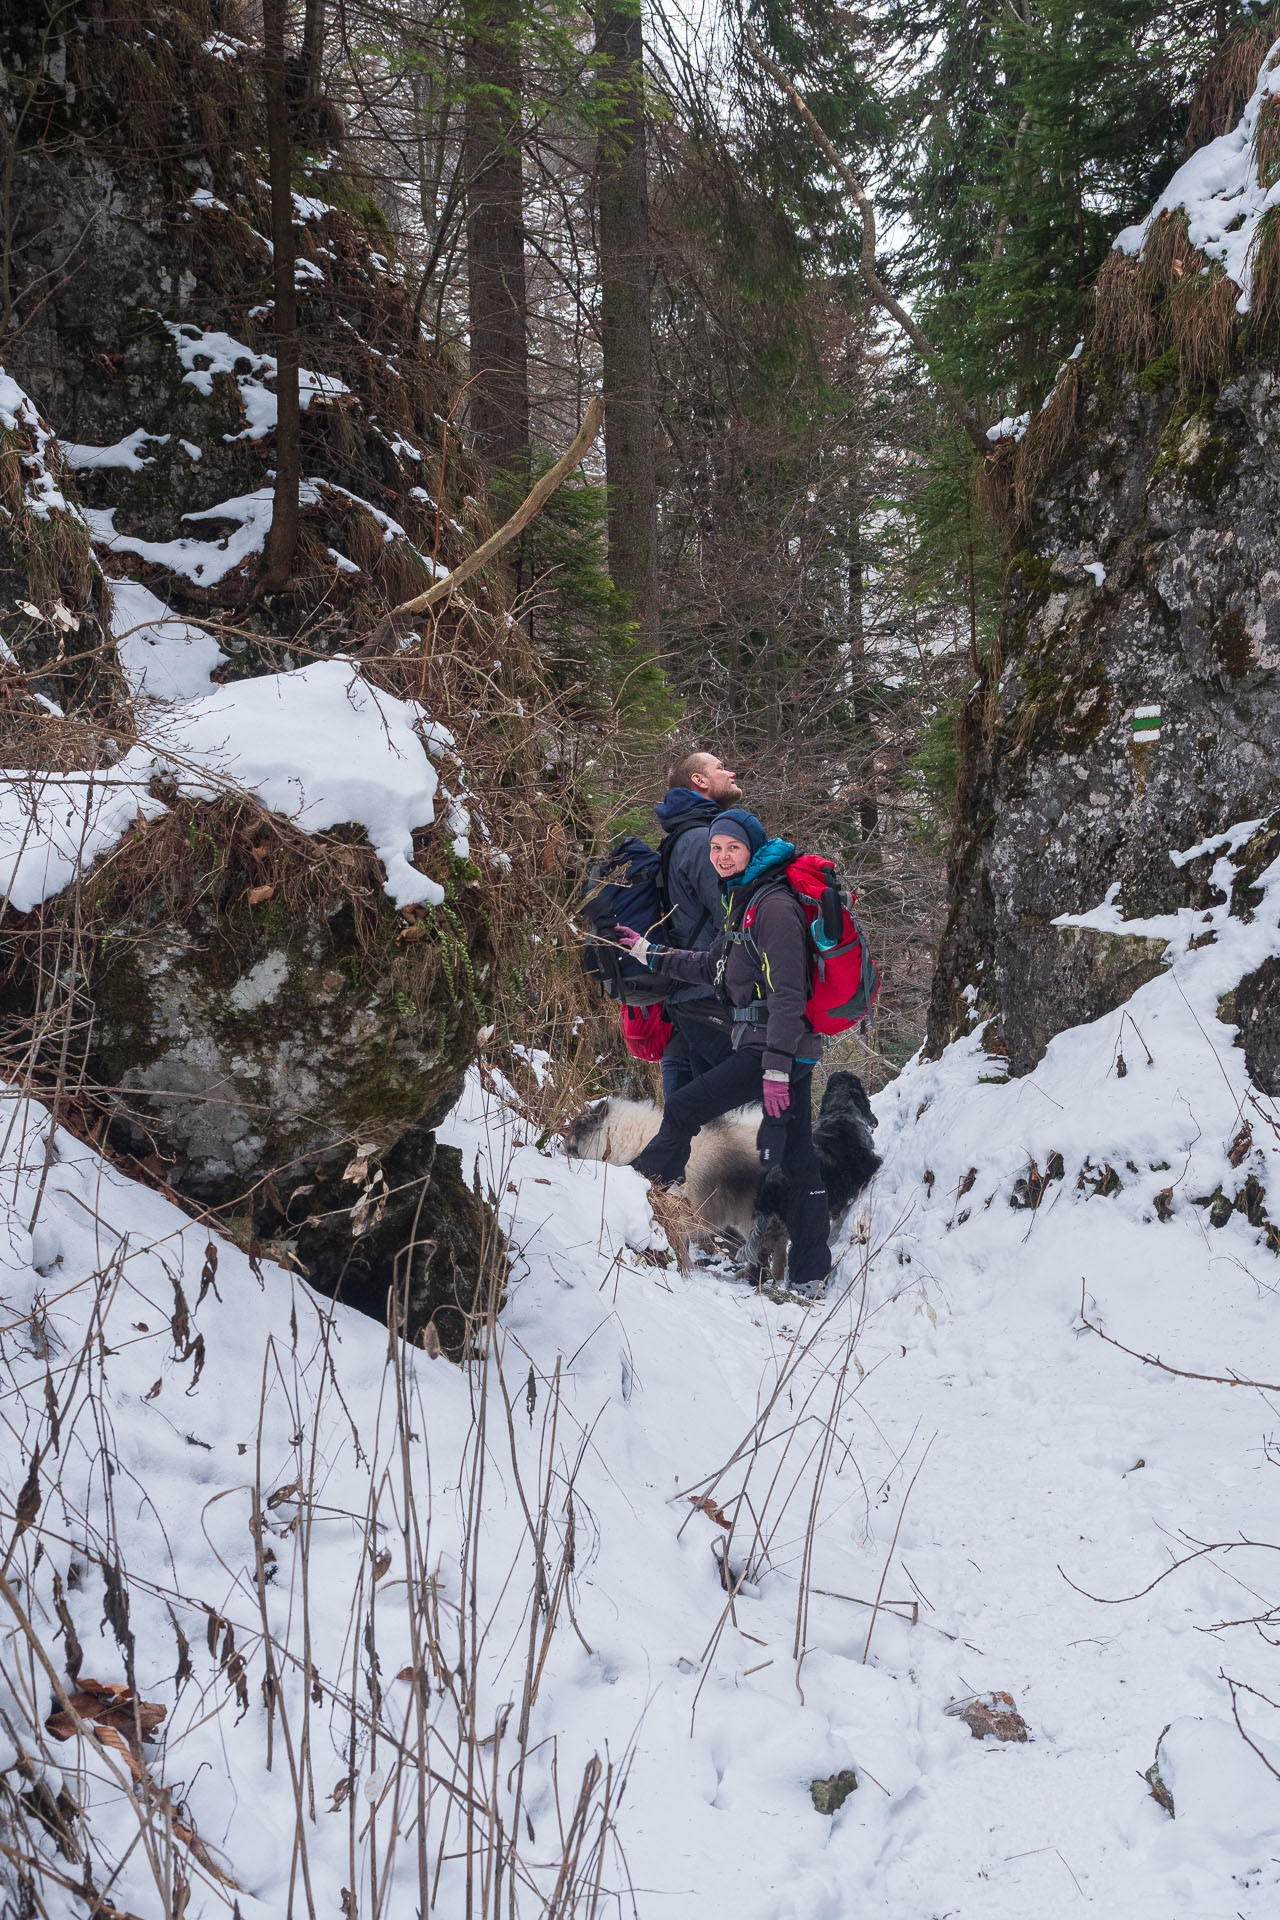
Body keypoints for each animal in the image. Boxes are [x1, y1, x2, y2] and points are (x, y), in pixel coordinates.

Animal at [571, 1075, 882, 1282]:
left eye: (576, 1128)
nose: (560, 1145)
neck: (632, 1141)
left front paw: (683, 1270)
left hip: (750, 1217)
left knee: (769, 1246)